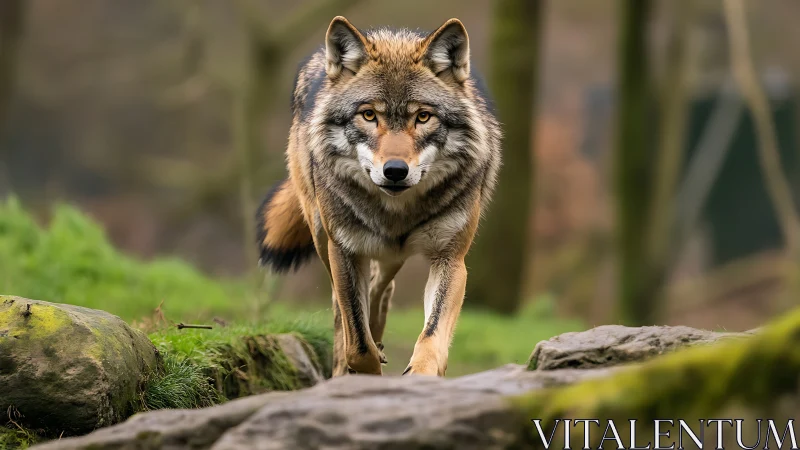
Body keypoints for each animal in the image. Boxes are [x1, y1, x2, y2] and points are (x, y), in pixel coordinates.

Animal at [256, 16, 501, 376]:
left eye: (423, 116)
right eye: (369, 115)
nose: (395, 171)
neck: (397, 210)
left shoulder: (451, 260)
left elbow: (432, 335)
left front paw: (423, 373)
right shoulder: (343, 250)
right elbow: (357, 343)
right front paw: (364, 372)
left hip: (390, 254)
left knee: (380, 288)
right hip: (323, 237)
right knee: (342, 312)